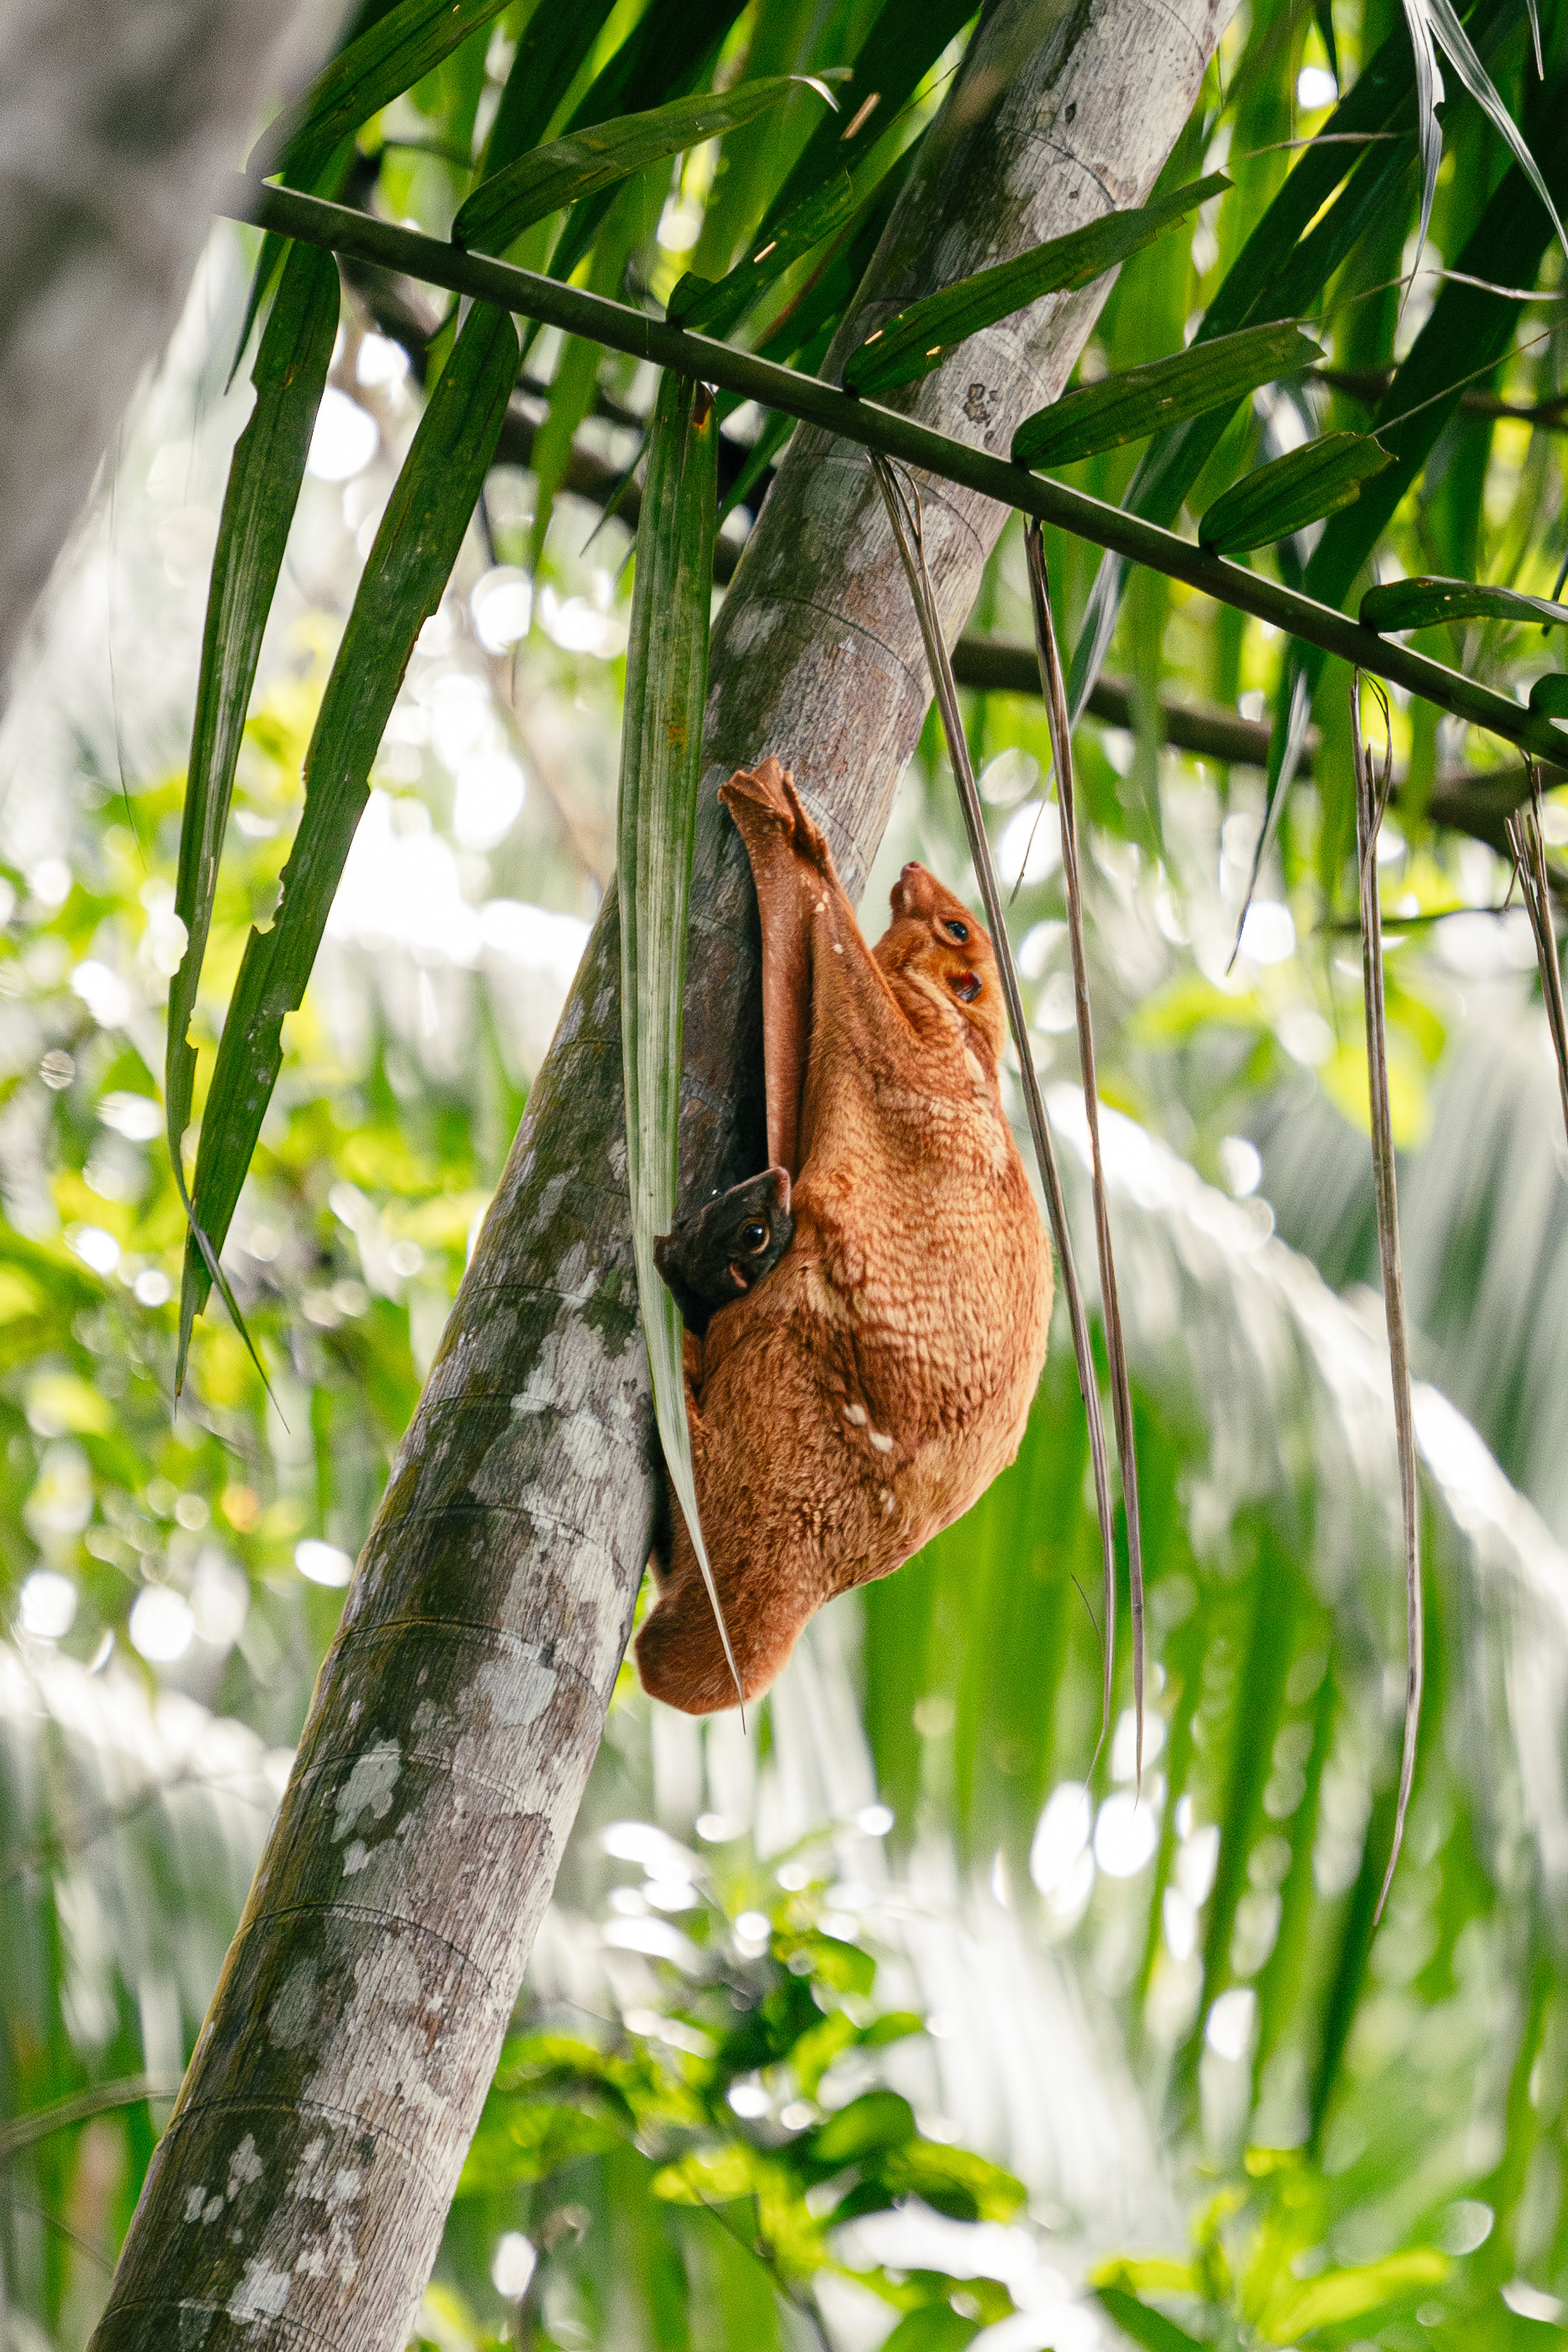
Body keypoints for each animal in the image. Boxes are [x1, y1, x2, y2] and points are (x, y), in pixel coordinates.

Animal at [636, 757, 1053, 1715]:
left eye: (954, 926)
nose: (916, 873)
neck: (966, 1033)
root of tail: (796, 1586)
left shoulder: (907, 1058)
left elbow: (840, 957)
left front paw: (793, 838)